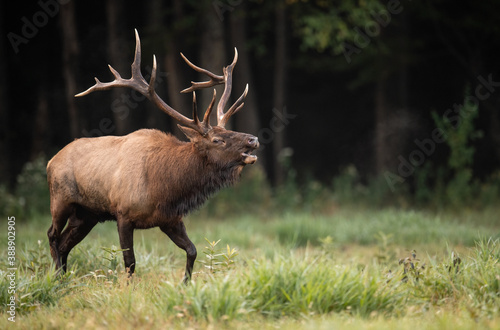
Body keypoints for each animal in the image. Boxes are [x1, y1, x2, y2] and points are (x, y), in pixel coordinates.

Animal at [47, 30, 260, 282]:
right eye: (217, 140)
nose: (253, 139)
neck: (165, 187)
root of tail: (50, 162)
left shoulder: (170, 219)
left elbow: (192, 250)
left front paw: (185, 284)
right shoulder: (123, 214)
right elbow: (130, 262)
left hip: (86, 214)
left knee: (64, 244)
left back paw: (63, 277)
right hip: (60, 200)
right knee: (52, 236)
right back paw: (56, 279)